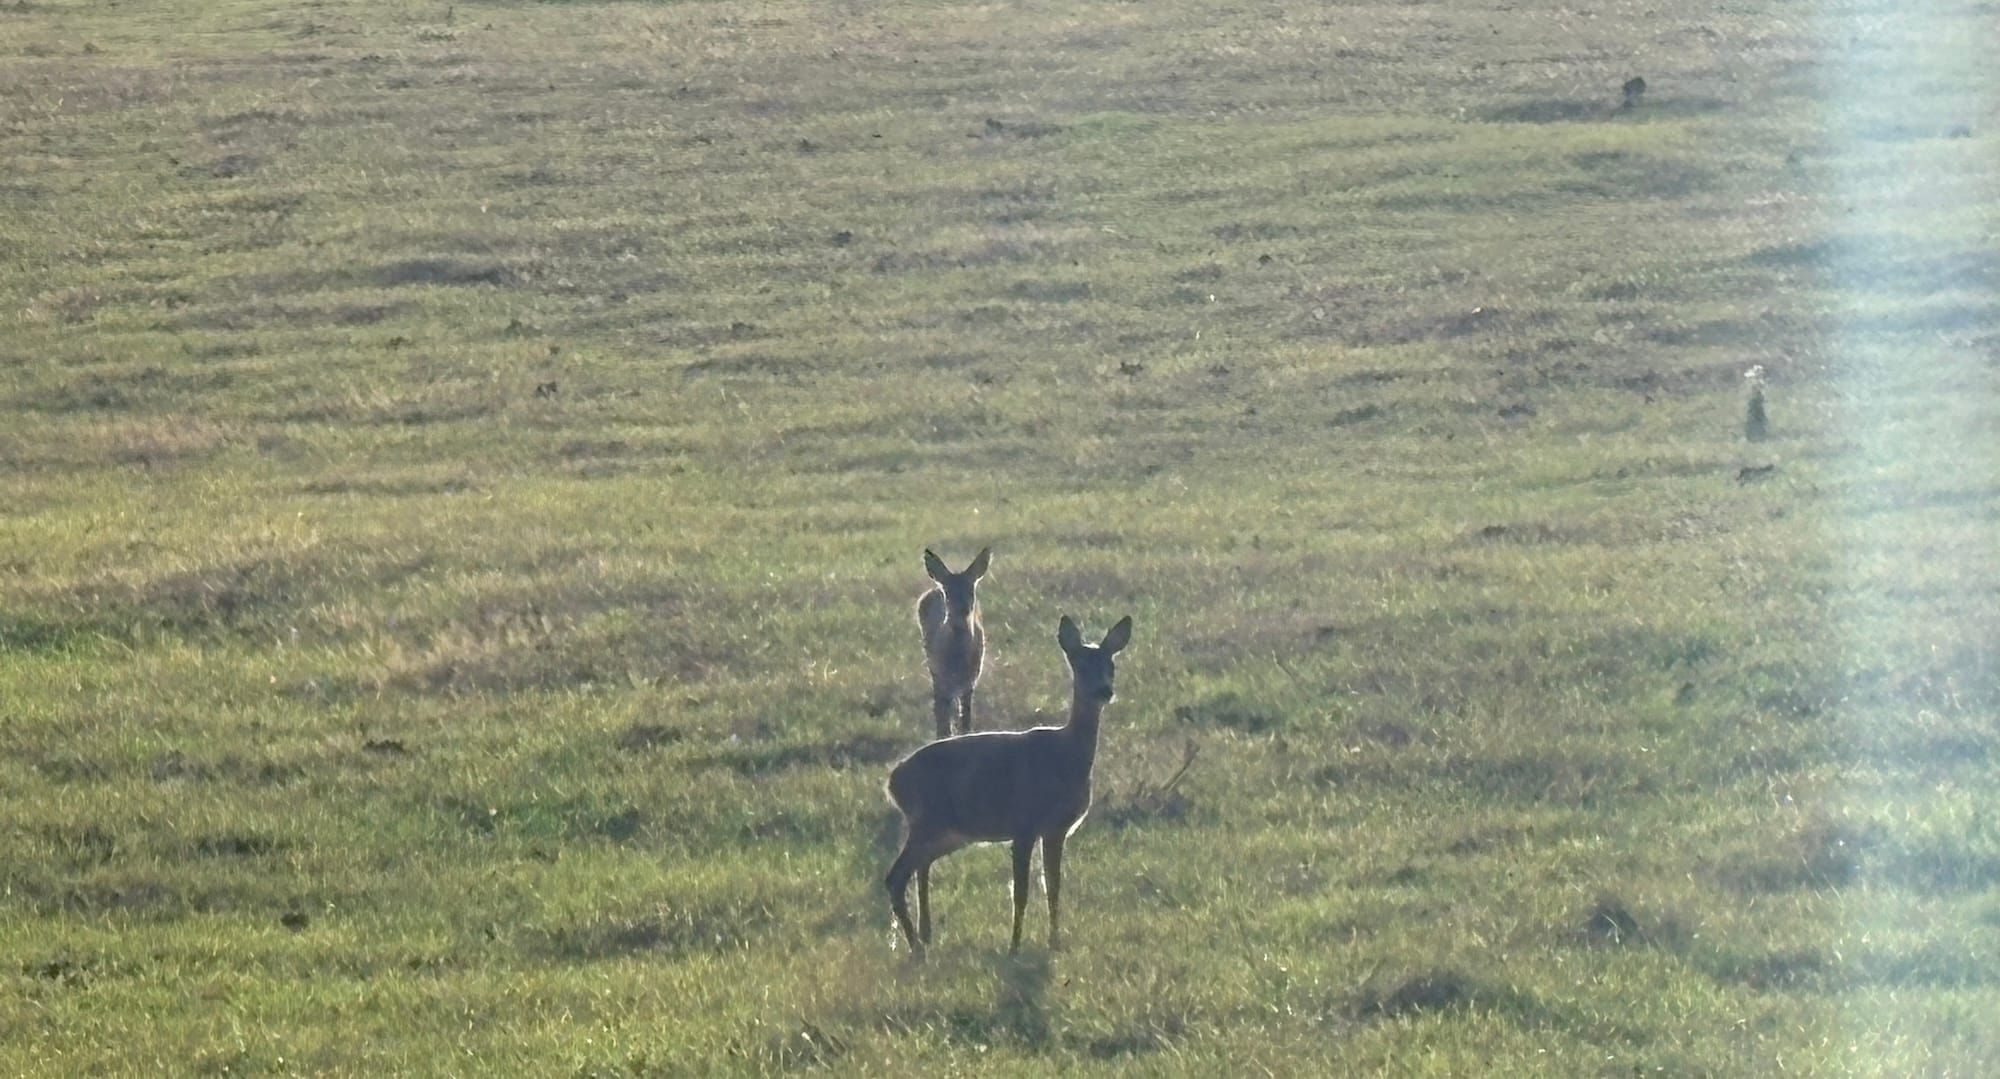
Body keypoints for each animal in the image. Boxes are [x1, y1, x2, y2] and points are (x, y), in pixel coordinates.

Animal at [884, 614, 1133, 957]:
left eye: (1111, 665)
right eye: (1080, 665)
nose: (1104, 691)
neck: (1067, 758)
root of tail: (892, 781)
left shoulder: (1055, 830)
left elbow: (1053, 887)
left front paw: (1055, 943)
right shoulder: (1024, 824)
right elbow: (1022, 891)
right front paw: (1014, 946)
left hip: (949, 831)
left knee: (919, 868)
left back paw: (925, 935)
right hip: (928, 820)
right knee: (895, 877)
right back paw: (917, 948)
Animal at [916, 547, 990, 739]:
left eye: (971, 591)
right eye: (948, 593)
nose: (962, 609)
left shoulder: (971, 678)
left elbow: (966, 716)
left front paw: (964, 733)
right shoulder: (940, 674)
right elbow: (942, 714)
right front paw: (943, 736)